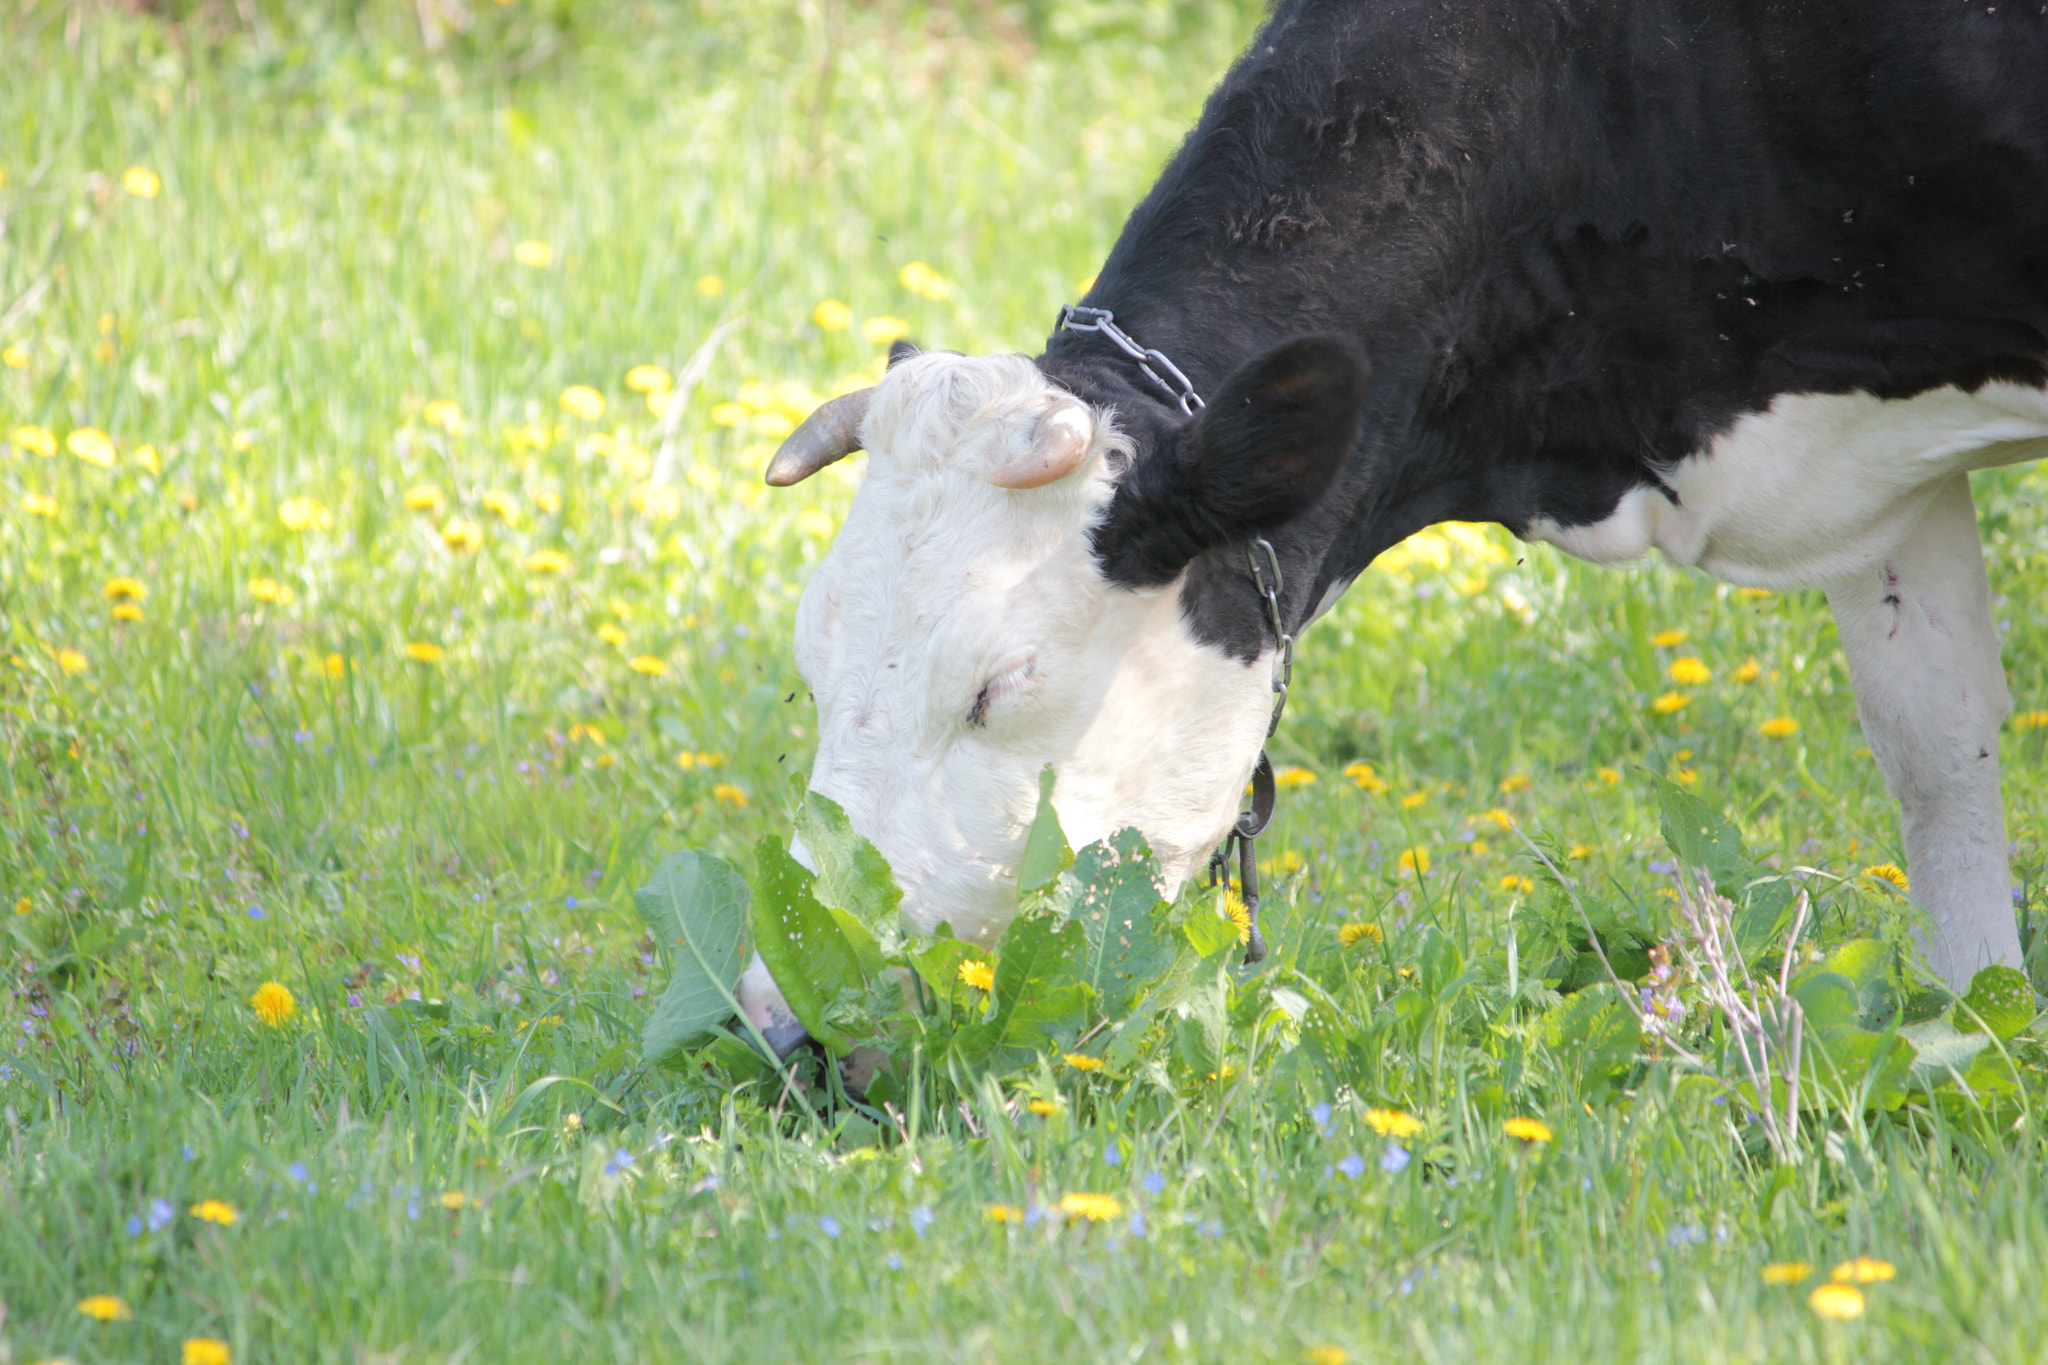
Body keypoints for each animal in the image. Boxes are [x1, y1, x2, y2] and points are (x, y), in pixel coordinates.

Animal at [735, 0, 2048, 1053]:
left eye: (995, 689)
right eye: (813, 668)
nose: (792, 1024)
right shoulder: (1875, 479)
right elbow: (1935, 751)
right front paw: (1977, 1023)